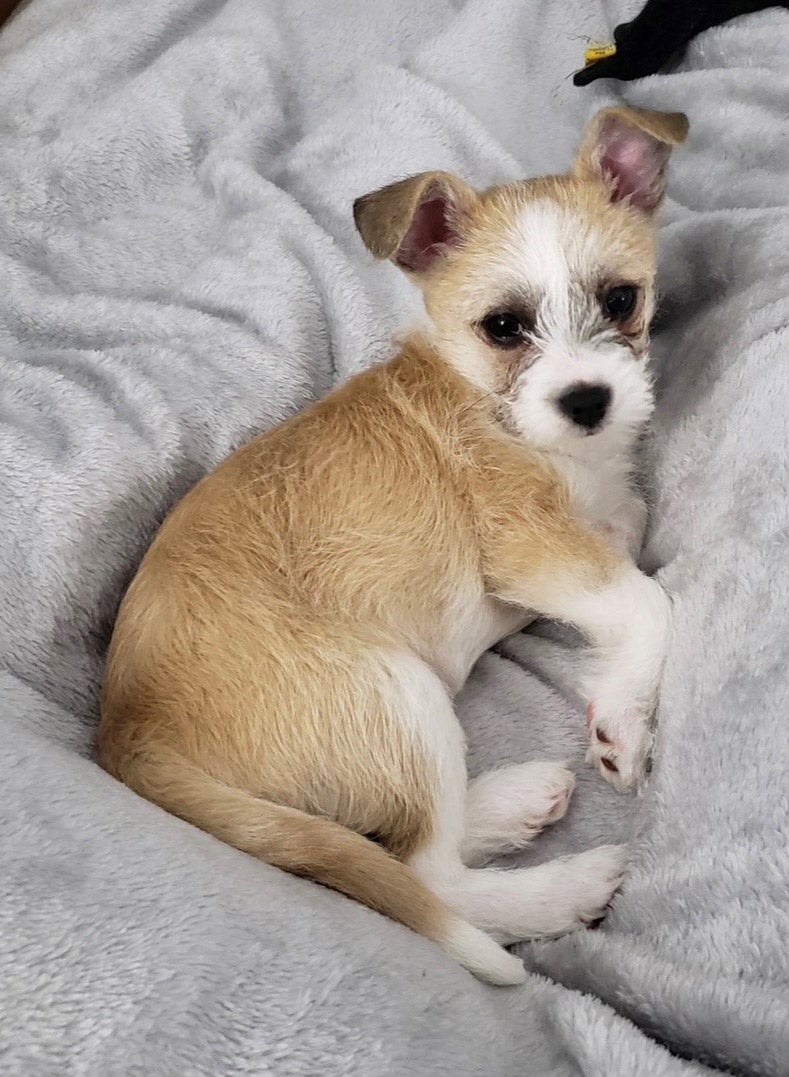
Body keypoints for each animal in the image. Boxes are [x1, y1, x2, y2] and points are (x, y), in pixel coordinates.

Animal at [100, 107, 684, 986]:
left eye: (621, 299)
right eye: (503, 327)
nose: (588, 399)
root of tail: (124, 730)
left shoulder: (588, 530)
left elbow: (630, 530)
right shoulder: (527, 546)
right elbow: (647, 600)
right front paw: (622, 718)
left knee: (391, 842)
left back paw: (514, 801)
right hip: (397, 692)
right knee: (429, 878)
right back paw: (568, 884)